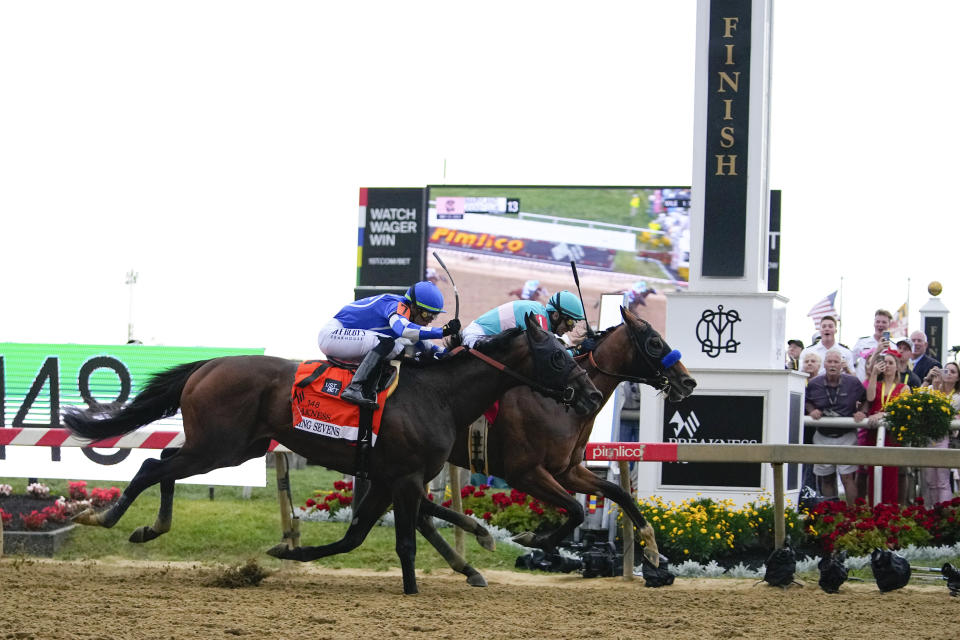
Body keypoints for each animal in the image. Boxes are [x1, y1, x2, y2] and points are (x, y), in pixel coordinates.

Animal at [63, 316, 600, 596]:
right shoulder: (405, 478)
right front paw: (414, 589)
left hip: (230, 447)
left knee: (164, 467)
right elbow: (404, 540)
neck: (439, 395)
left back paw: (149, 526)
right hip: (219, 446)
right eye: (558, 356)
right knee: (153, 466)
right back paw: (107, 517)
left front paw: (288, 551)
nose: (592, 394)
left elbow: (357, 536)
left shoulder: (388, 478)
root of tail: (209, 365)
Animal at [424, 308, 692, 572]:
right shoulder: (524, 473)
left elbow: (617, 493)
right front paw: (536, 539)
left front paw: (652, 549)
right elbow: (576, 510)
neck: (558, 406)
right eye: (655, 342)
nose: (688, 381)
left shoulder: (567, 470)